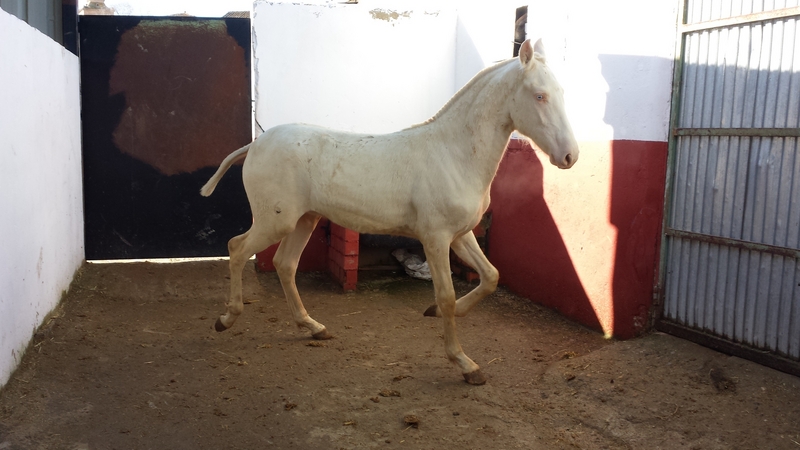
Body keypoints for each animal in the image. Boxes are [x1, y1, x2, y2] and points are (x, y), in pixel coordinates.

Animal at [200, 39, 579, 385]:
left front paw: (433, 313)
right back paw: (226, 320)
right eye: (540, 96)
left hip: (304, 220)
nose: (570, 156)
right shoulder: (436, 238)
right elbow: (447, 295)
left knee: (285, 264)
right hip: (274, 221)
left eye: (562, 92)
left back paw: (313, 327)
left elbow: (491, 277)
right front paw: (465, 363)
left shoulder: (460, 235)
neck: (453, 153)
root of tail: (256, 143)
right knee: (237, 248)